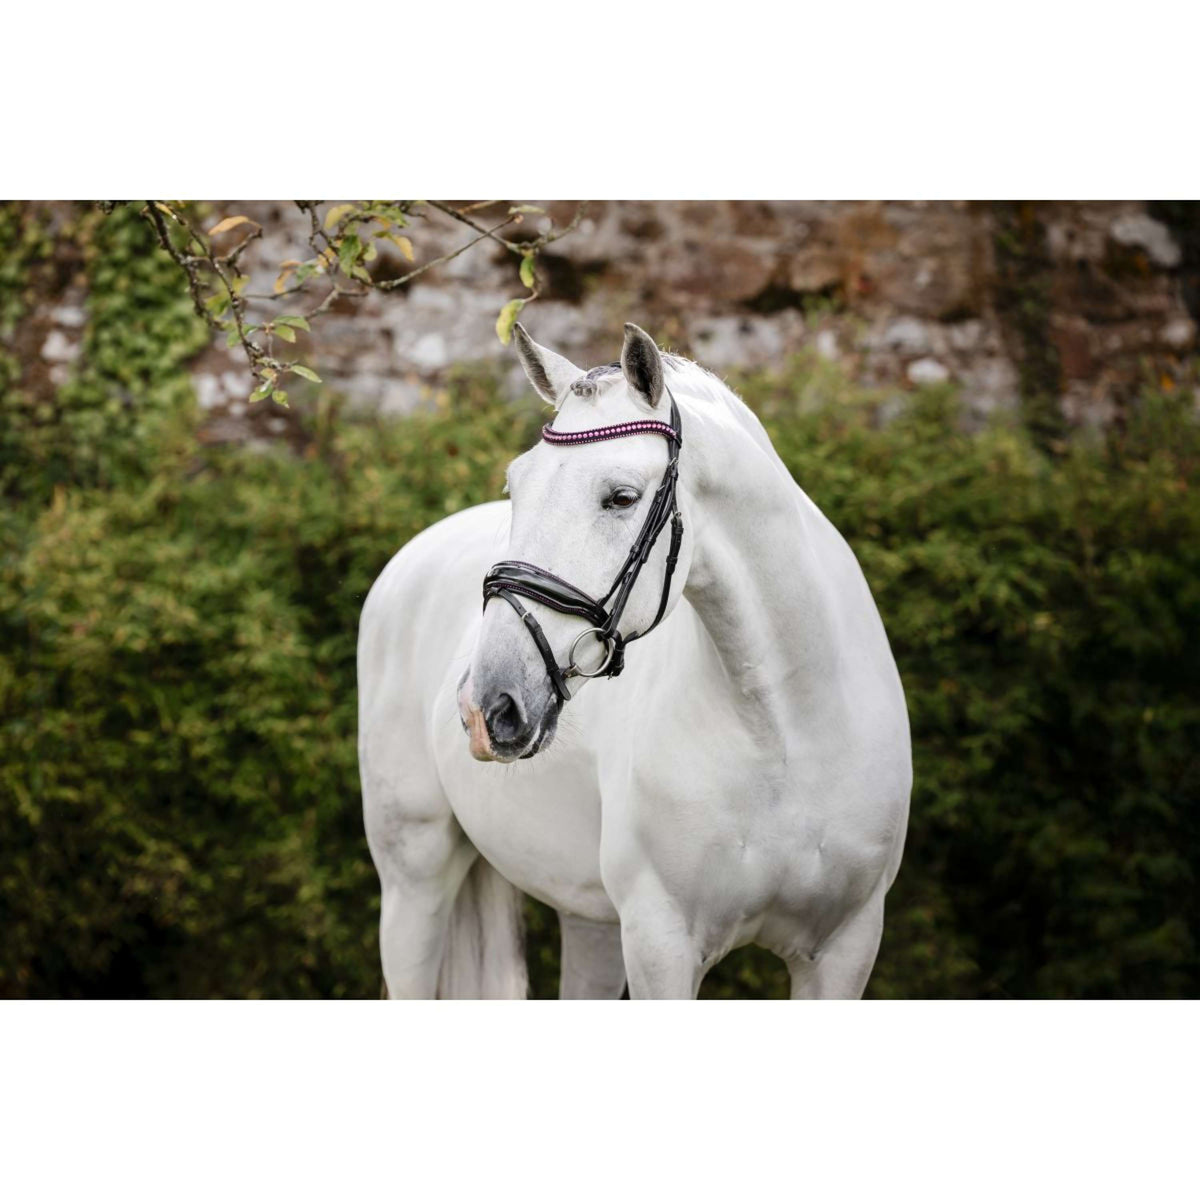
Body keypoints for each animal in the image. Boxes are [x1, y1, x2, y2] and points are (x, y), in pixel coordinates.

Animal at [358, 322, 911, 999]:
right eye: (516, 486)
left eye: (621, 497)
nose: (486, 707)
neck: (788, 732)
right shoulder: (660, 943)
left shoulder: (844, 949)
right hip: (414, 877)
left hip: (587, 918)